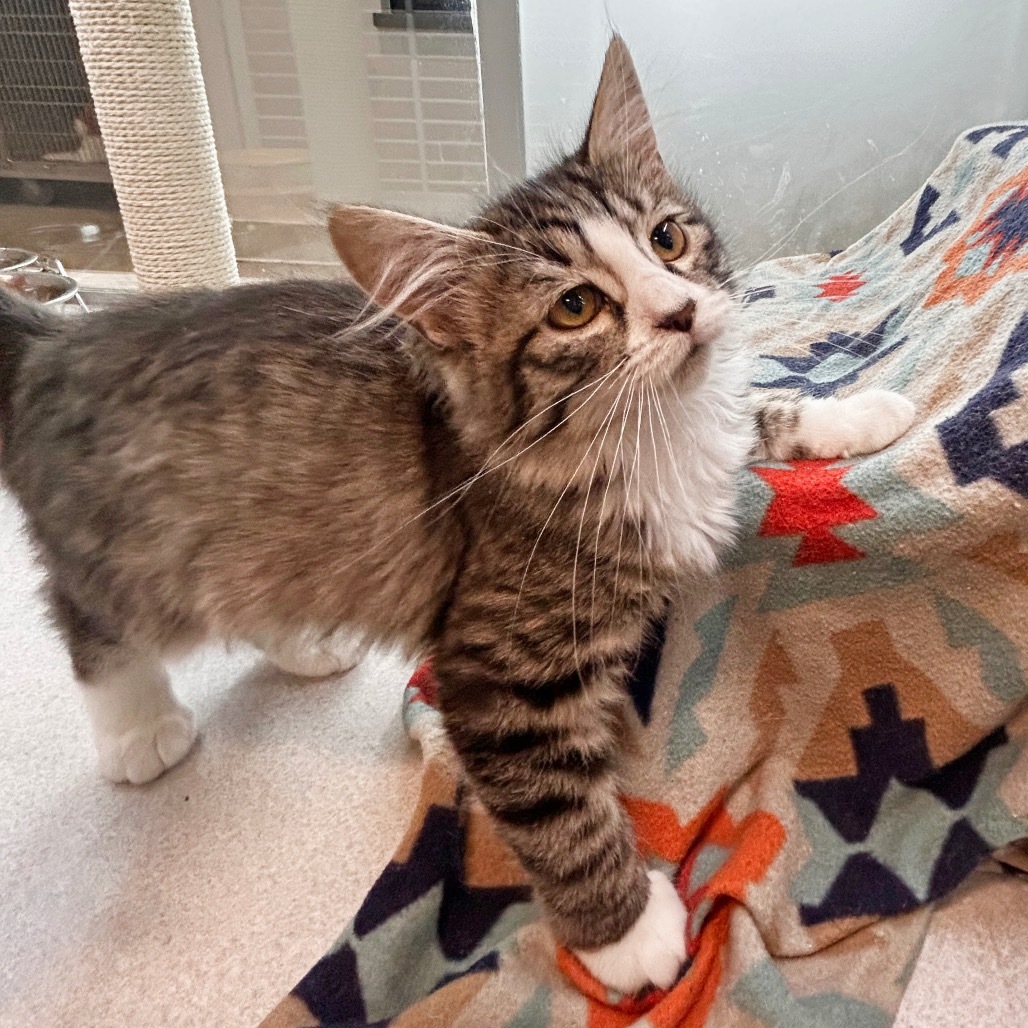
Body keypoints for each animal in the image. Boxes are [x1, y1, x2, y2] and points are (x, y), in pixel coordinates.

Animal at [0, 40, 916, 995]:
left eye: (667, 239)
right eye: (575, 306)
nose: (683, 312)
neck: (653, 429)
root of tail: (56, 341)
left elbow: (759, 417)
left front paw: (858, 414)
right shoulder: (490, 669)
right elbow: (559, 813)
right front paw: (628, 934)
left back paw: (304, 647)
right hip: (138, 562)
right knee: (84, 616)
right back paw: (139, 728)